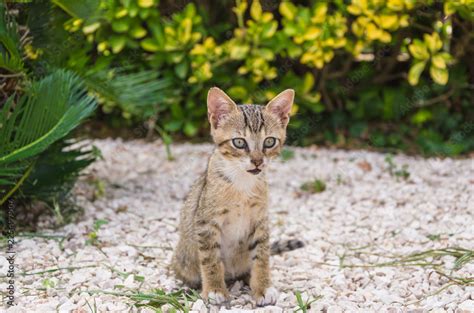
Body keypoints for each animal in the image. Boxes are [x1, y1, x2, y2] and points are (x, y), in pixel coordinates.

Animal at [172, 87, 302, 304]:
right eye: (239, 142)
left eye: (269, 141)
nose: (257, 161)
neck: (242, 183)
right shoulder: (206, 222)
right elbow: (211, 259)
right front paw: (214, 289)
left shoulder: (260, 220)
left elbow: (262, 257)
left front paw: (263, 287)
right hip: (184, 259)